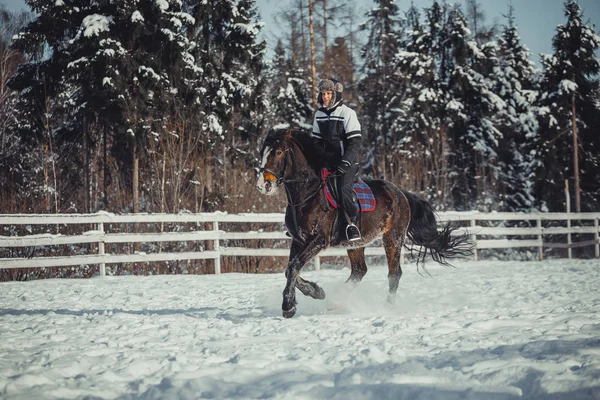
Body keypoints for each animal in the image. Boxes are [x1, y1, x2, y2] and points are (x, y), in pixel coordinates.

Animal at [255, 126, 472, 318]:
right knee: (360, 270)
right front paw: (315, 292)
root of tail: (400, 193)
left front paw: (289, 306)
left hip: (393, 238)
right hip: (356, 242)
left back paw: (386, 308)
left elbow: (293, 267)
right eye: (262, 152)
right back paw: (337, 301)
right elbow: (290, 268)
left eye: (279, 152)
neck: (308, 194)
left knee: (394, 273)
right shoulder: (299, 240)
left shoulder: (319, 240)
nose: (263, 186)